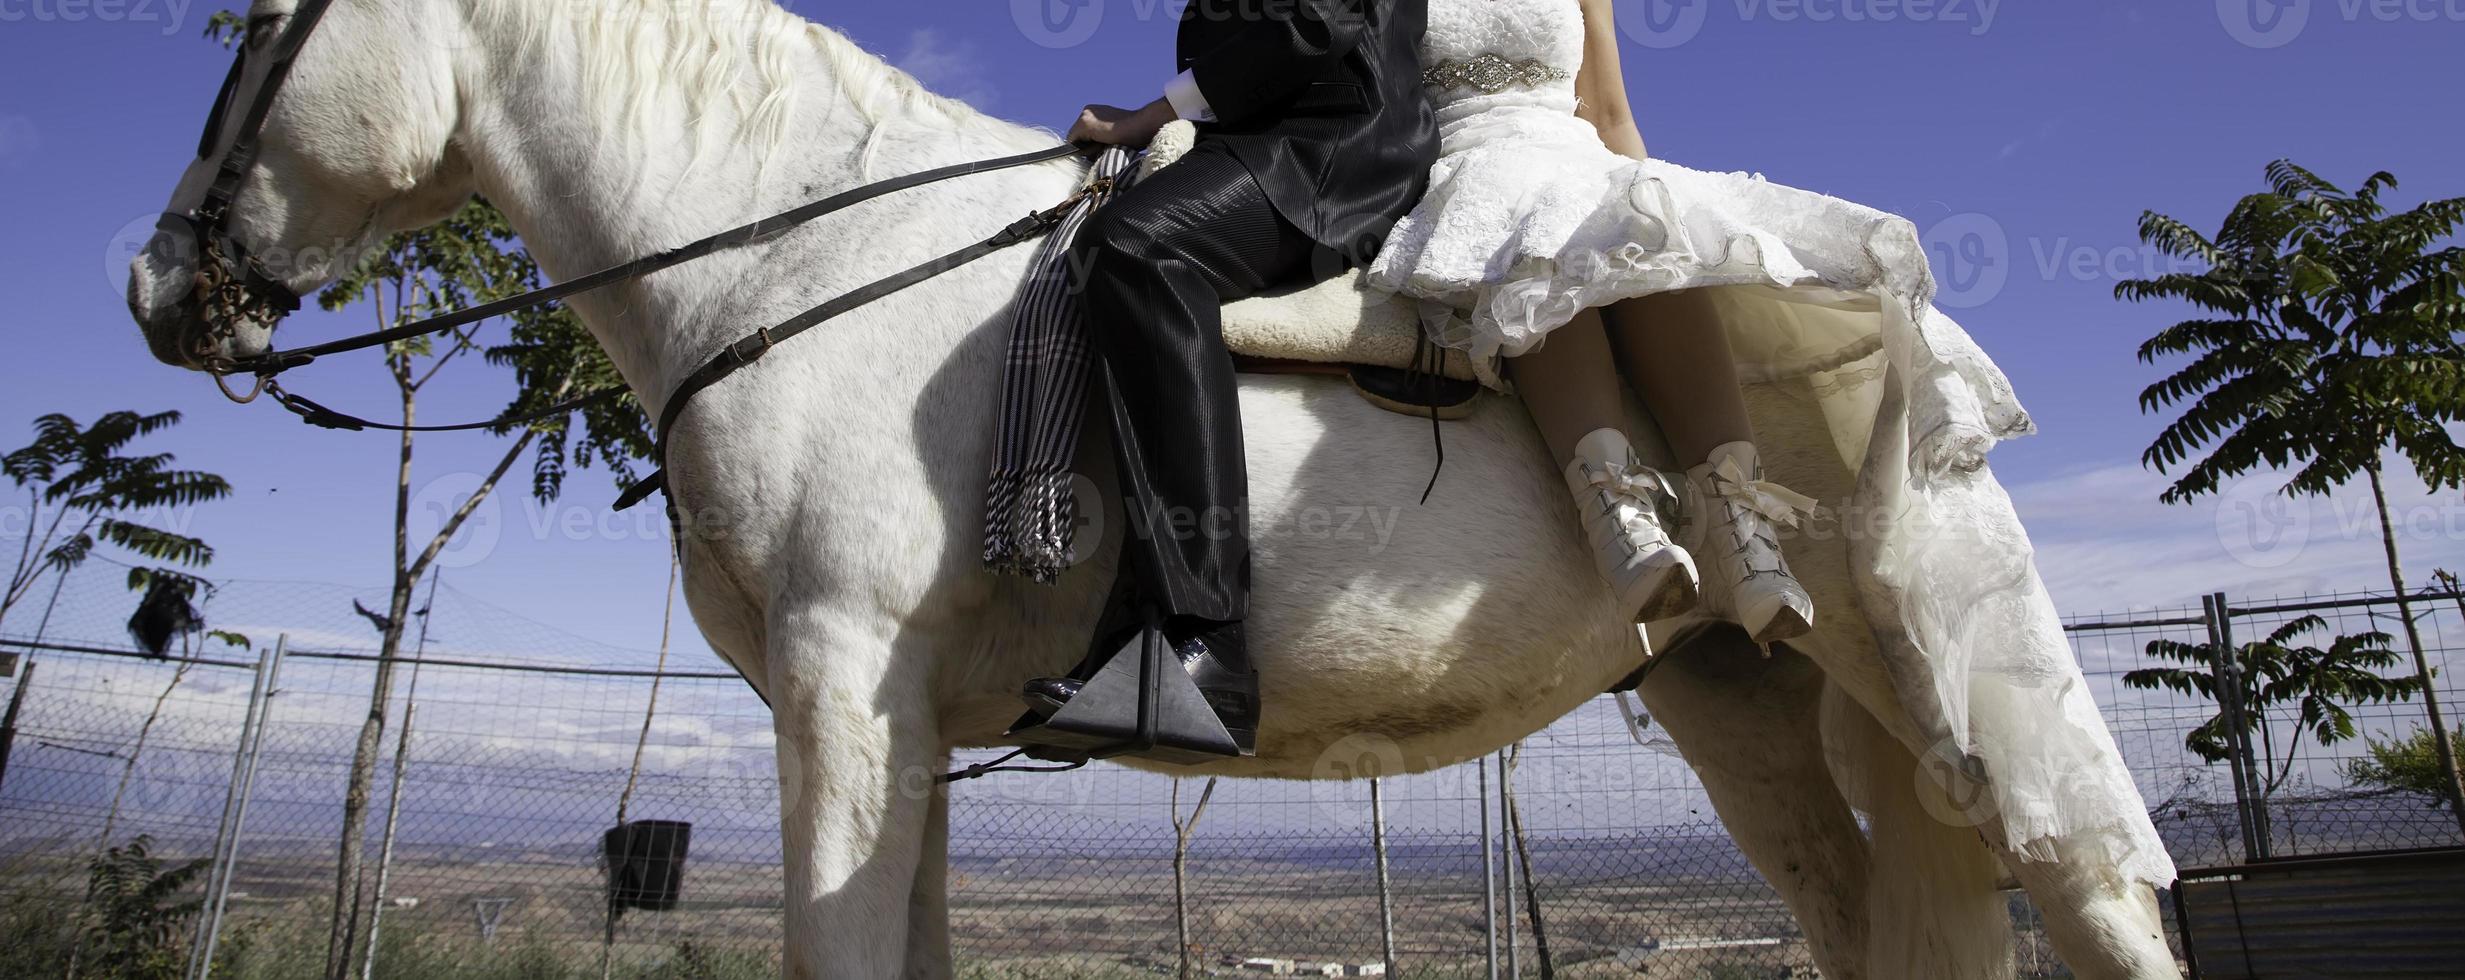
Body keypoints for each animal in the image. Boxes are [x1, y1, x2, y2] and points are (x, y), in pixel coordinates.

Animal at [134, 3, 2179, 975]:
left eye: (260, 21)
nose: (159, 285)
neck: (800, 256)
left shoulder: (839, 693)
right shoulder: (894, 725)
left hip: (1934, 673)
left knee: (2098, 902)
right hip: (1750, 704)